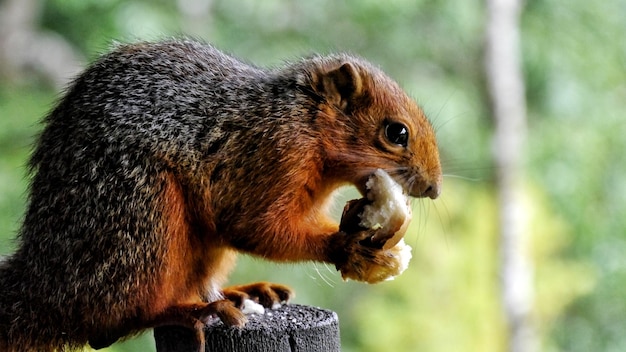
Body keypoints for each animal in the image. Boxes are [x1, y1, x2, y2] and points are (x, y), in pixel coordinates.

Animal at [0, 40, 442, 350]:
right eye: (396, 132)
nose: (434, 188)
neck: (304, 123)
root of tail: (44, 284)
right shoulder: (270, 157)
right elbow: (254, 226)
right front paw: (346, 246)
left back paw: (239, 293)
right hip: (140, 216)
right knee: (110, 323)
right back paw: (186, 312)